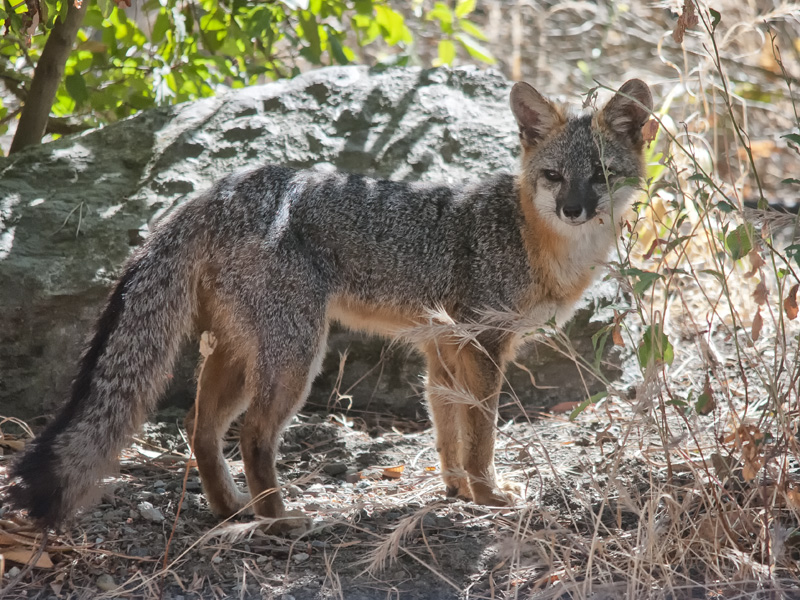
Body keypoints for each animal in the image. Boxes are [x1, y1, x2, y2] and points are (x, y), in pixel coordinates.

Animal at [6, 78, 652, 533]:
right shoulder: (483, 344)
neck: (534, 241)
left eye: (599, 175)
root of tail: (222, 188)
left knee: (200, 428)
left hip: (242, 353)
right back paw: (278, 519)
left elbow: (448, 430)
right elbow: (481, 432)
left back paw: (232, 510)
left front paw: (457, 491)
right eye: (554, 176)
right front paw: (489, 494)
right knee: (253, 434)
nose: (573, 209)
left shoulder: (441, 347)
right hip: (296, 355)